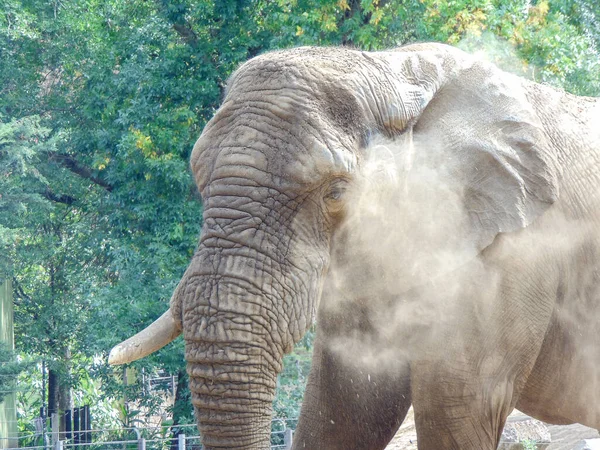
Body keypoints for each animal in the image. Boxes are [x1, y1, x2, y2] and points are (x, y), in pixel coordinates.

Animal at [109, 43, 600, 450]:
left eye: (336, 192)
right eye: (197, 181)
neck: (395, 71)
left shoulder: (508, 260)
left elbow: (460, 405)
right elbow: (349, 405)